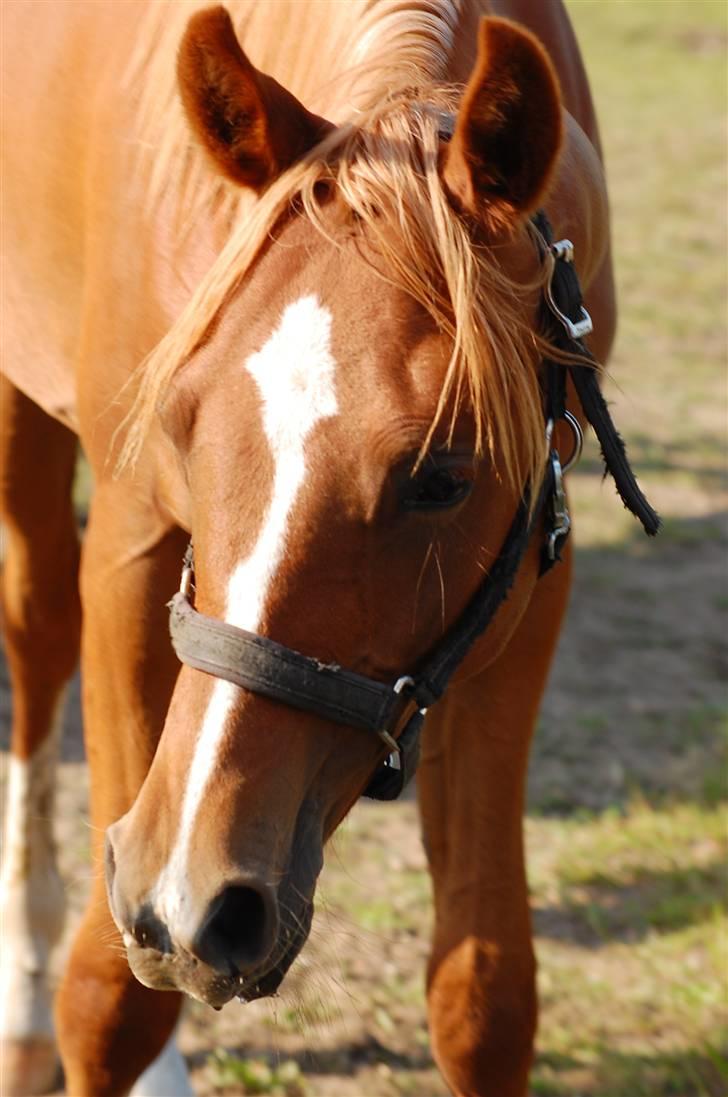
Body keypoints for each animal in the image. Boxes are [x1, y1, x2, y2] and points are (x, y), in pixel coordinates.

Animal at [0, 2, 657, 1097]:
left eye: (442, 475)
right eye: (180, 420)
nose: (196, 899)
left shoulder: (523, 594)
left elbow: (482, 997)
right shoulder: (134, 545)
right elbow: (109, 998)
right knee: (37, 635)